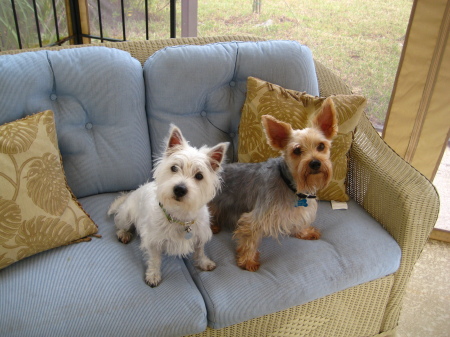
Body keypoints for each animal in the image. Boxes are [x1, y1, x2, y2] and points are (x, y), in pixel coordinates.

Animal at [108, 125, 229, 286]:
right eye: (174, 168)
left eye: (199, 176)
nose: (179, 189)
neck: (180, 216)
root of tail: (131, 194)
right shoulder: (153, 240)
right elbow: (154, 259)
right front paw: (153, 275)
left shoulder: (200, 235)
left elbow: (200, 251)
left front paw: (204, 262)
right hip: (126, 216)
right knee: (120, 224)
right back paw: (124, 234)